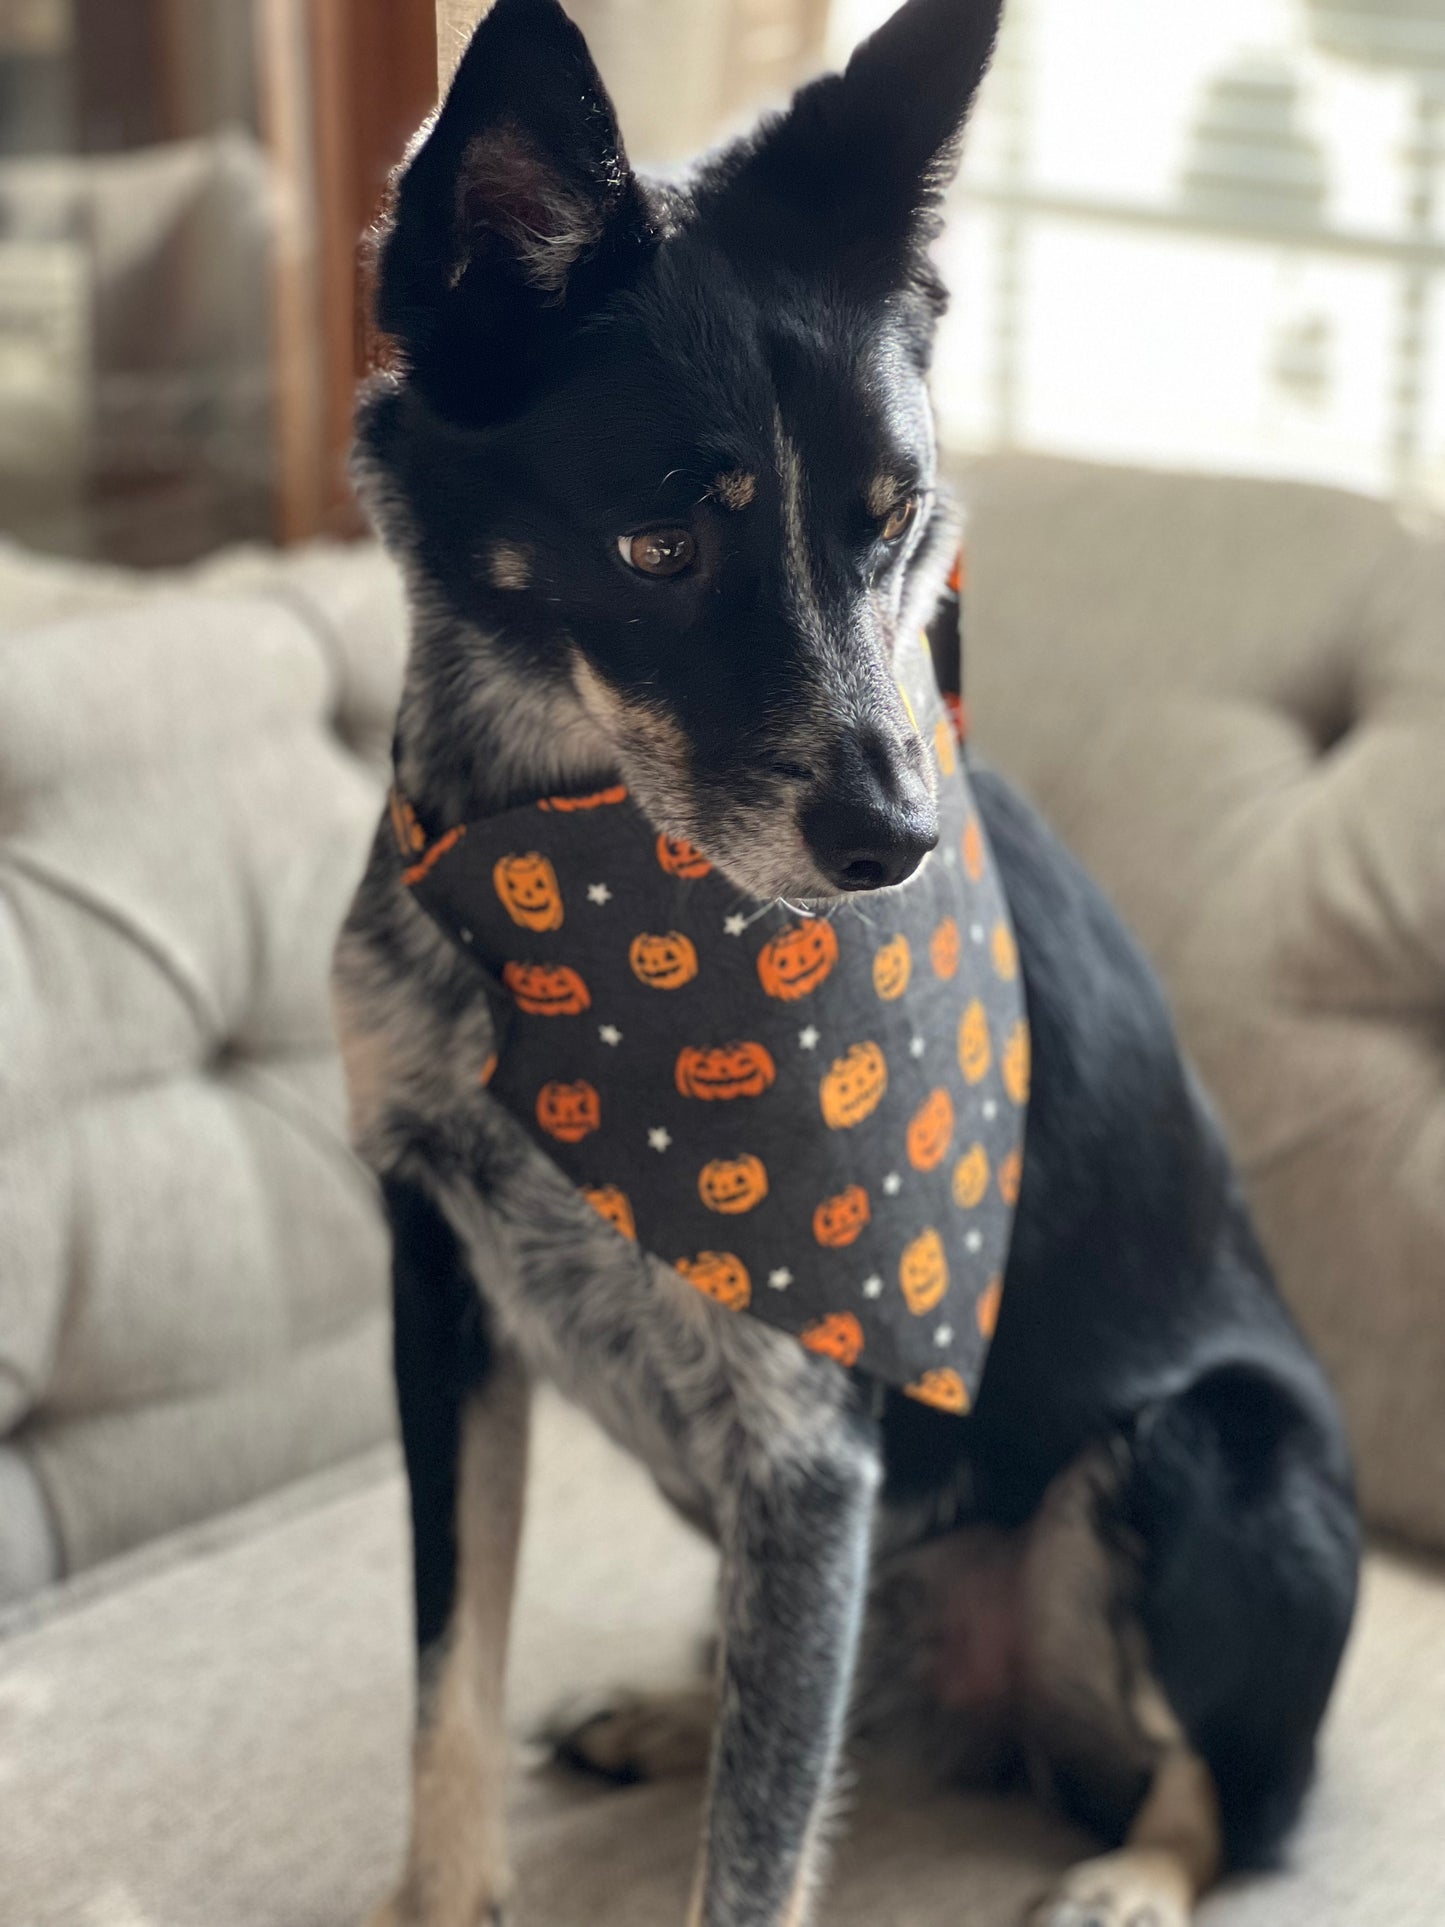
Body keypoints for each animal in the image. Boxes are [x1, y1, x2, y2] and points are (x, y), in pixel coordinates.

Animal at [333, 7, 1364, 1919]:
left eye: (897, 518)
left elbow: (753, 1854)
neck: (567, 872)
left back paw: (1132, 1871)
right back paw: (678, 1706)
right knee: (816, 1690)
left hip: (1199, 1457)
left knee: (1234, 1795)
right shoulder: (441, 1295)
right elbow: (450, 1678)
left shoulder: (808, 1443)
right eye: (661, 540)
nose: (897, 841)